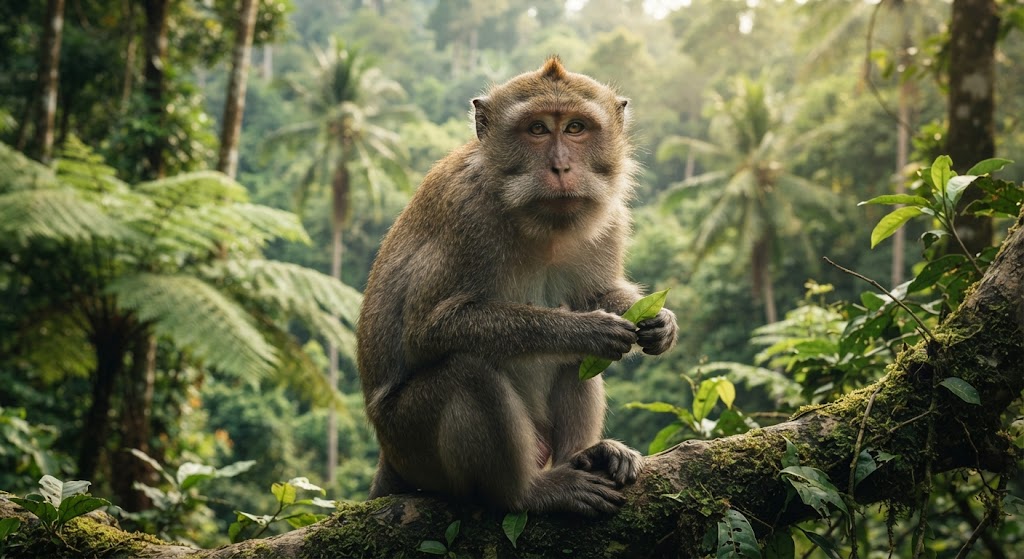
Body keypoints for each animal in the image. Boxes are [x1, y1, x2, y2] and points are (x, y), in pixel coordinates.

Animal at [356, 57, 678, 516]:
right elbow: (428, 330)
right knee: (468, 370)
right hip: (410, 440)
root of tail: (388, 455)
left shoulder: (612, 218)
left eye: (575, 128)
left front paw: (661, 323)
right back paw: (529, 493)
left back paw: (586, 456)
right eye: (537, 129)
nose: (561, 168)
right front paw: (584, 328)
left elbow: (595, 295)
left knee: (572, 364)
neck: (540, 222)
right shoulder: (466, 215)